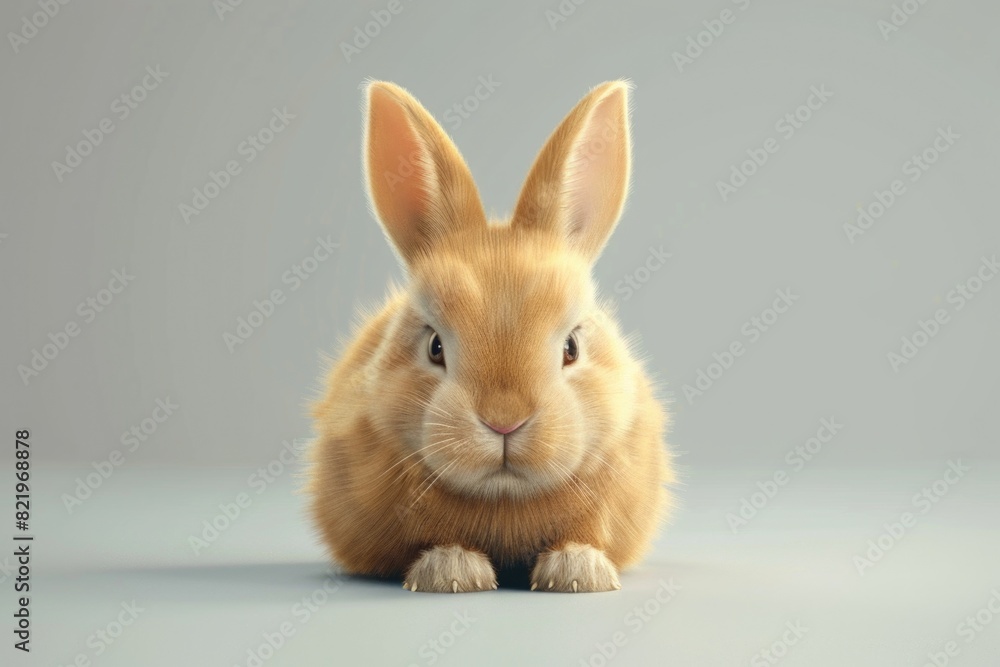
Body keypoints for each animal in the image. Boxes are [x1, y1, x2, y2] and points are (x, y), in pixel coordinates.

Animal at [306, 80, 672, 593]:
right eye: (435, 346)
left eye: (571, 348)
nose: (504, 420)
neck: (504, 497)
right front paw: (451, 571)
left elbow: (584, 535)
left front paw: (578, 571)